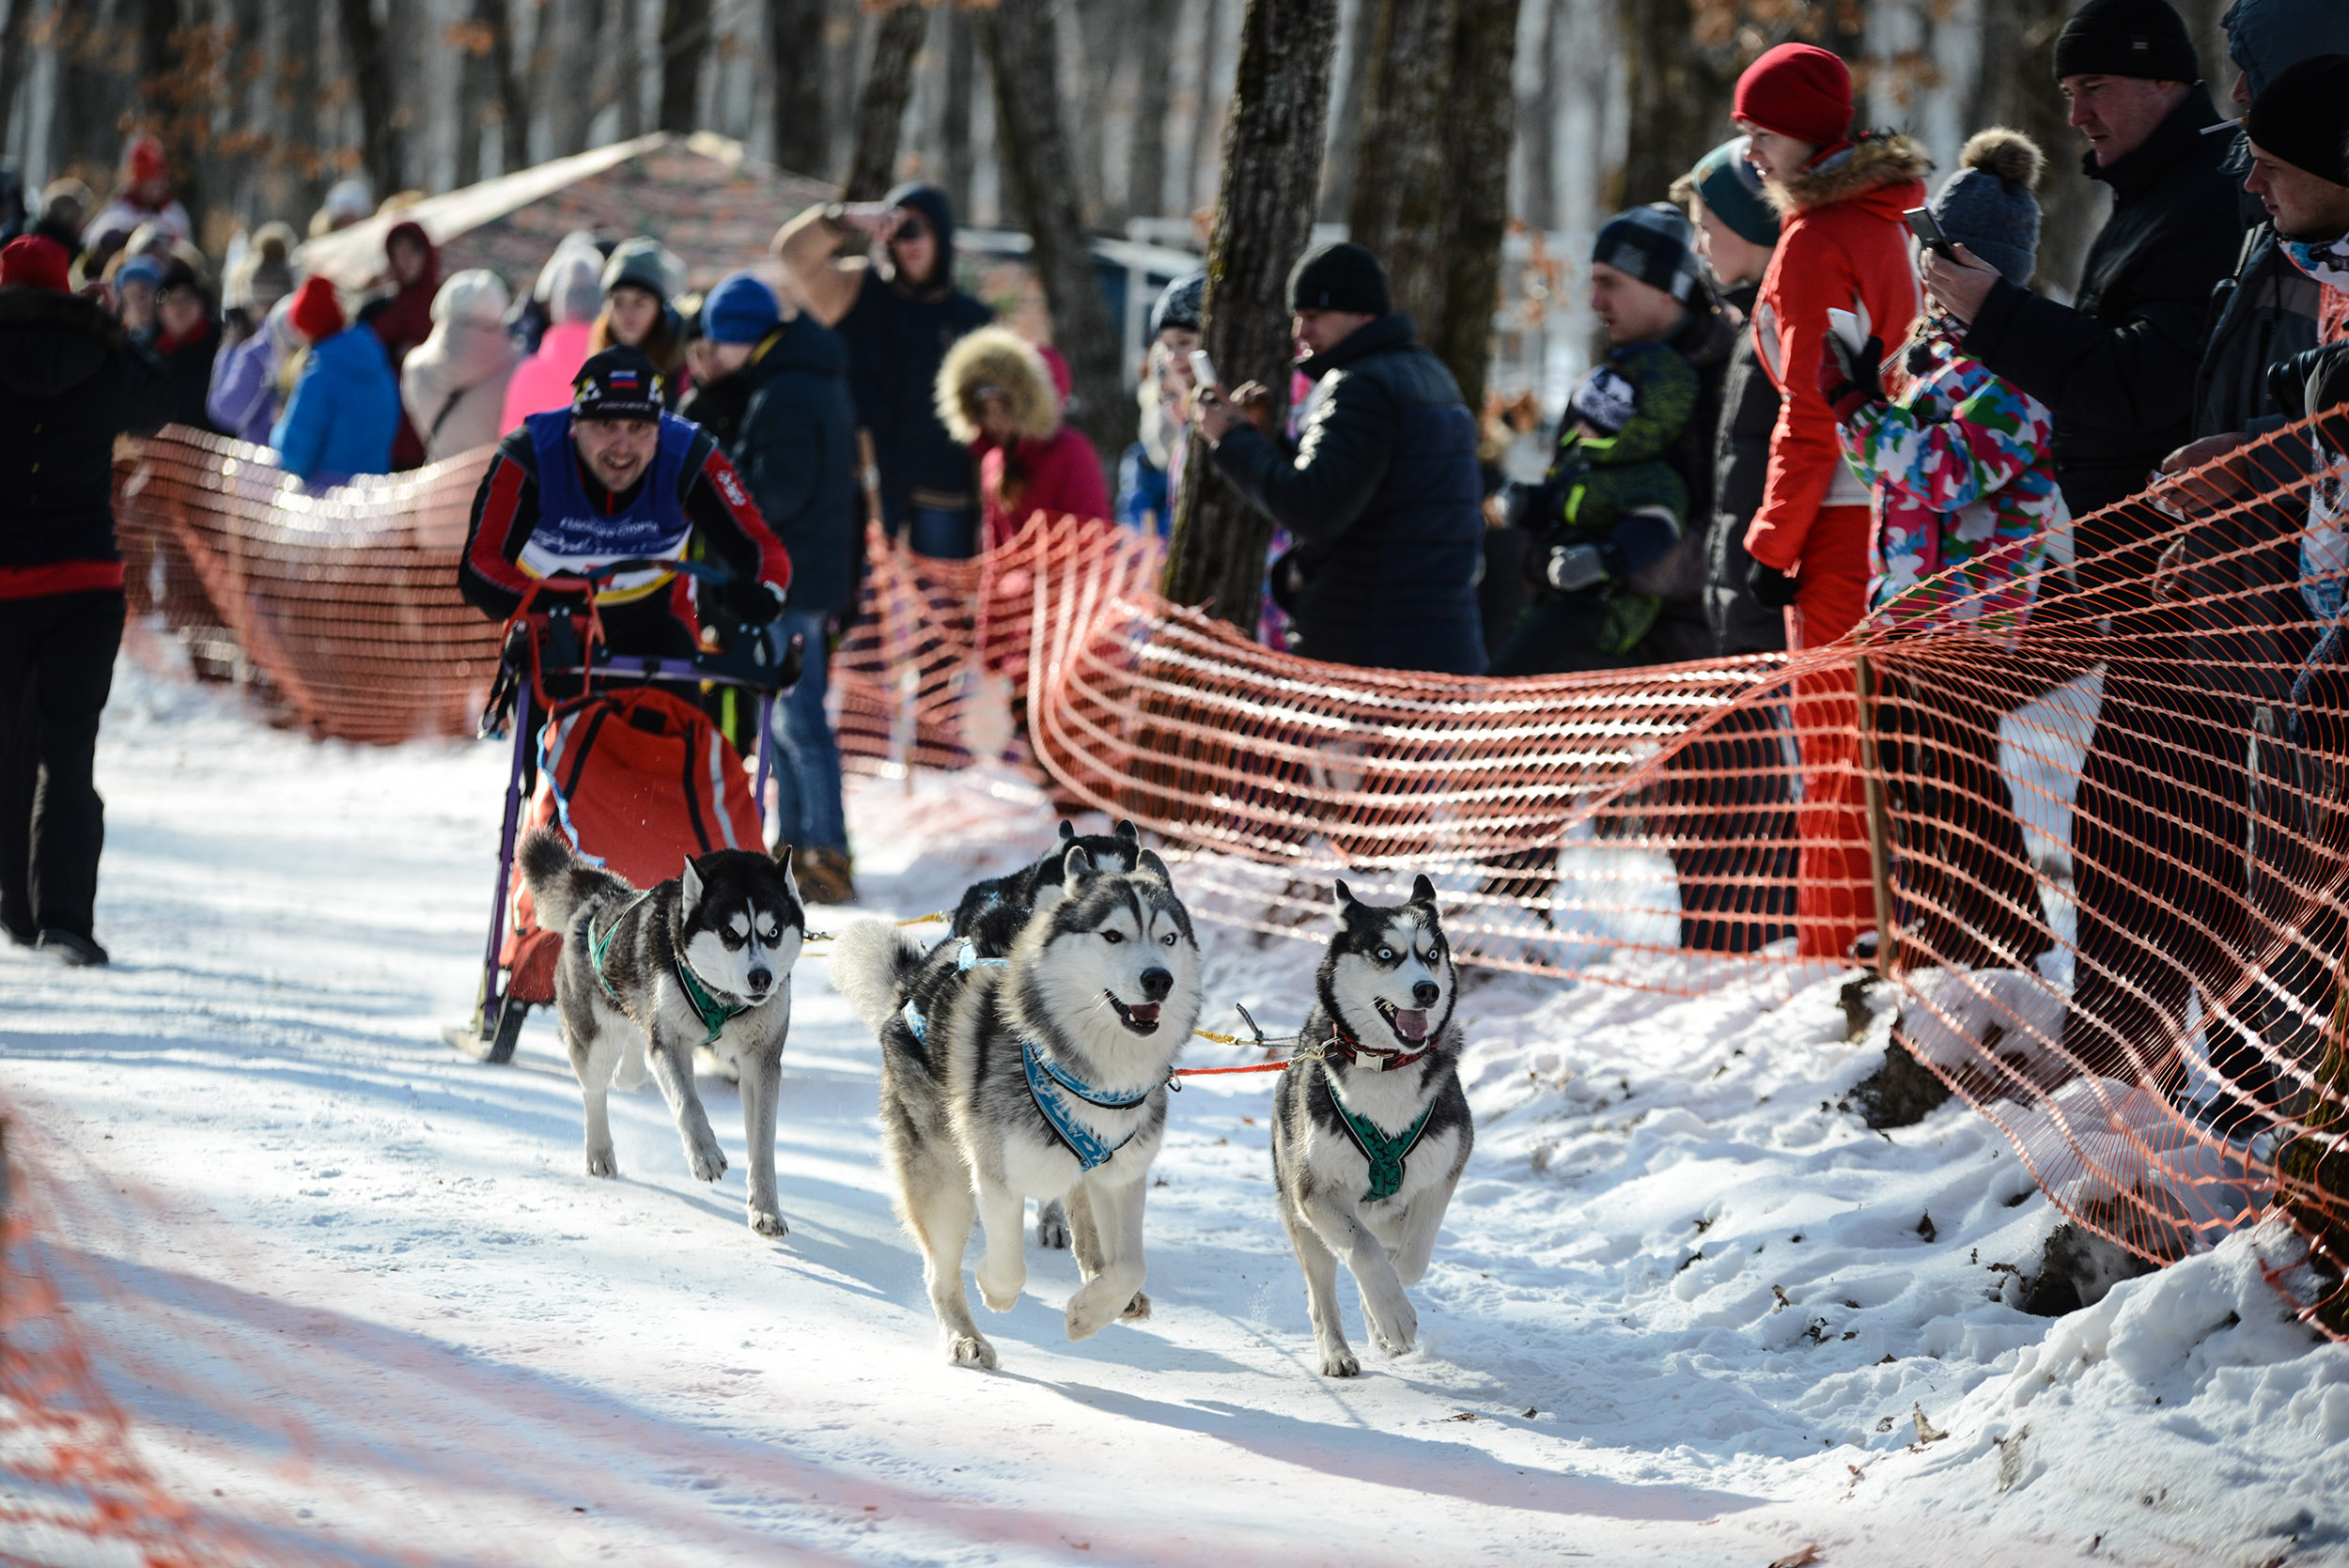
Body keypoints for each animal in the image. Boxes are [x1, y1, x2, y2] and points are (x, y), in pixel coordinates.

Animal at [517, 826, 803, 1239]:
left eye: (774, 932)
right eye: (730, 933)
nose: (761, 977)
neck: (722, 1001)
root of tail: (603, 897)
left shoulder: (761, 1061)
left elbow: (762, 1145)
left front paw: (765, 1209)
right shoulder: (670, 1042)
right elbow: (687, 1102)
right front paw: (705, 1155)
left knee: (635, 1049)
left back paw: (629, 1071)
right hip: (595, 1042)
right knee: (594, 1090)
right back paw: (600, 1152)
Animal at [1268, 877, 1466, 1380]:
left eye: (1431, 954)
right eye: (1385, 953)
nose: (1427, 990)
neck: (1385, 1064)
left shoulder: (1445, 1169)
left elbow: (1412, 1256)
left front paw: (1391, 1302)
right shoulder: (1313, 1192)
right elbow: (1362, 1250)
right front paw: (1392, 1312)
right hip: (1302, 1215)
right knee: (1325, 1290)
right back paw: (1338, 1351)